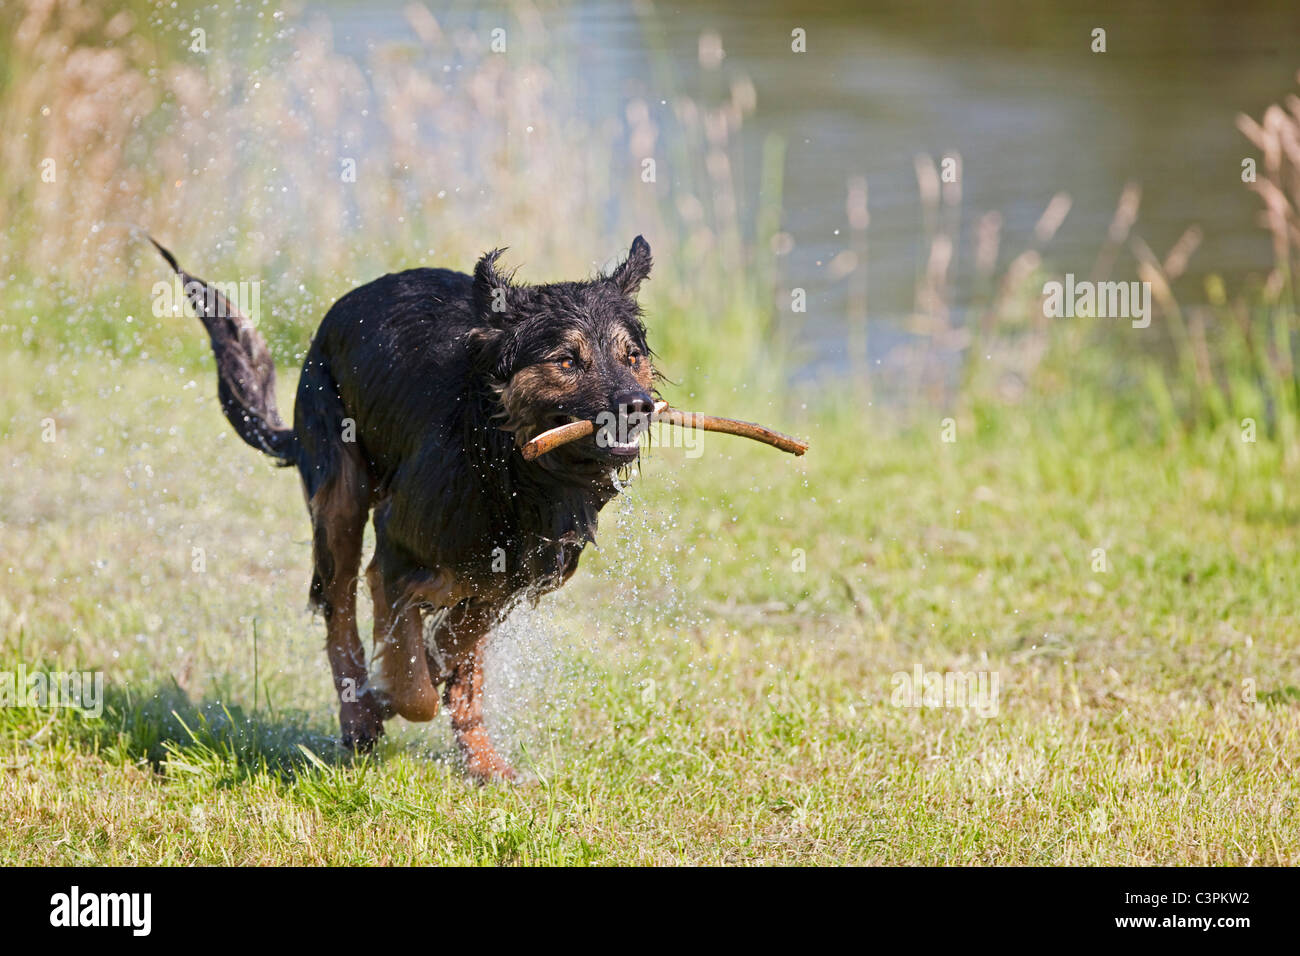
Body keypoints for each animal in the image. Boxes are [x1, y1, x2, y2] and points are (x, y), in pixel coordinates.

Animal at [152, 235, 660, 780]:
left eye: (631, 356)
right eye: (567, 360)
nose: (639, 405)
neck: (507, 465)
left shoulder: (515, 578)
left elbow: (455, 652)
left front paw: (434, 689)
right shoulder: (396, 556)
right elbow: (415, 685)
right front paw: (384, 696)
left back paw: (482, 761)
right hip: (340, 497)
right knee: (339, 614)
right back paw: (359, 714)